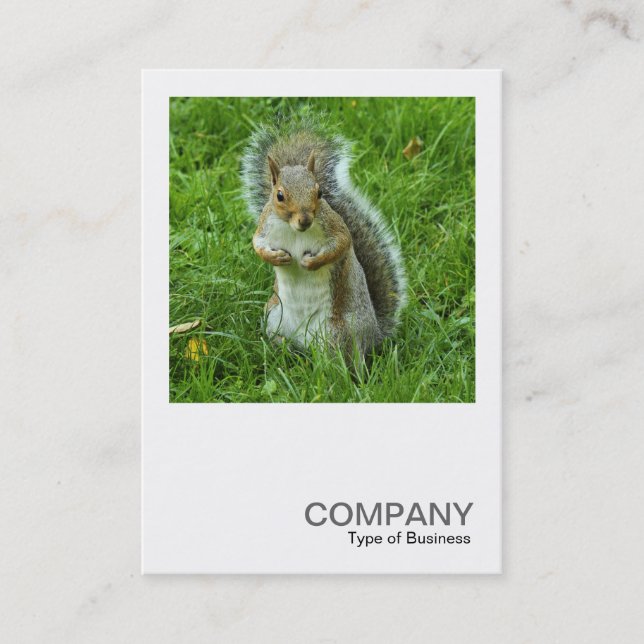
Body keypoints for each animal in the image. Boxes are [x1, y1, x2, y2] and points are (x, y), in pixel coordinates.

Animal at [241, 120, 406, 358]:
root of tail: (373, 335)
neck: (294, 230)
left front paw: (312, 262)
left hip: (339, 334)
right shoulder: (265, 225)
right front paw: (276, 258)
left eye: (319, 193)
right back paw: (281, 347)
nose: (305, 220)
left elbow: (342, 244)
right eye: (279, 195)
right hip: (273, 316)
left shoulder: (335, 227)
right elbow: (257, 244)